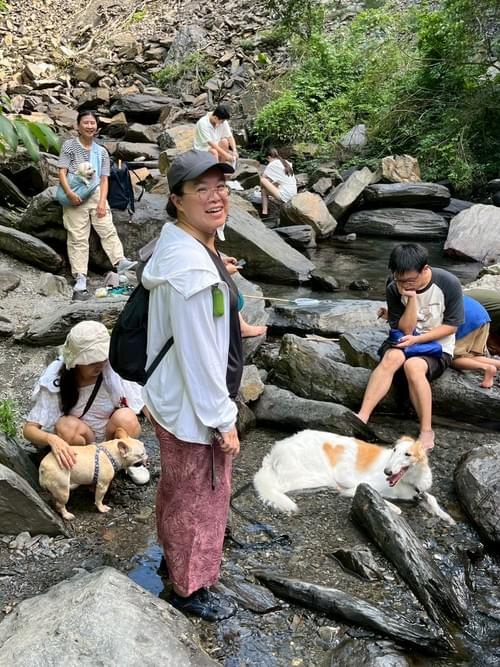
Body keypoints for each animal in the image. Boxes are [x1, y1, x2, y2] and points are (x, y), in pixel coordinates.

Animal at [253, 430, 454, 524]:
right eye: (394, 450)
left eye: (407, 454)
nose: (387, 472)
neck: (409, 482)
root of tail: (277, 450)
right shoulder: (360, 487)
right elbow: (396, 508)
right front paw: (394, 508)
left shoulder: (419, 492)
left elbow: (432, 499)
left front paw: (446, 516)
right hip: (313, 476)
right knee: (274, 487)